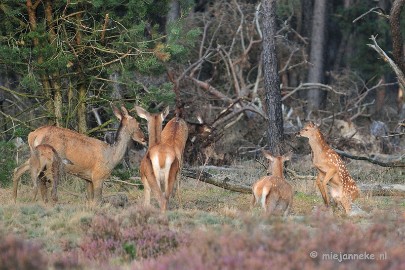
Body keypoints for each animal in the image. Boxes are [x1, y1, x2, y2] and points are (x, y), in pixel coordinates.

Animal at [11, 106, 146, 205]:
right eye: (138, 123)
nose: (144, 139)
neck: (111, 156)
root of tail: (33, 135)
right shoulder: (98, 176)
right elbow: (98, 201)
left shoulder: (88, 178)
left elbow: (90, 200)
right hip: (51, 162)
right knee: (44, 184)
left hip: (33, 158)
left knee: (18, 170)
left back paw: (15, 200)